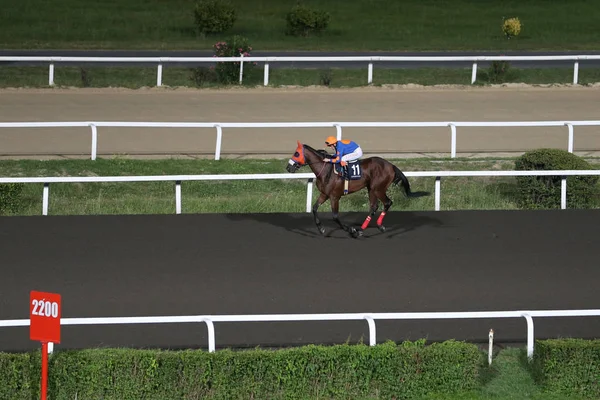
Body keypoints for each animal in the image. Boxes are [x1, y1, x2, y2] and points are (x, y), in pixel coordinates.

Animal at [284, 141, 428, 238]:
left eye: (296, 153)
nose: (288, 168)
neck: (326, 170)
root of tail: (391, 165)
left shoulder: (335, 196)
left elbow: (335, 216)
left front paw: (351, 230)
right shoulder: (324, 194)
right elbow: (314, 208)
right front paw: (321, 229)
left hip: (378, 188)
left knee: (387, 203)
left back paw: (378, 226)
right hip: (371, 189)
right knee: (374, 207)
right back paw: (362, 229)